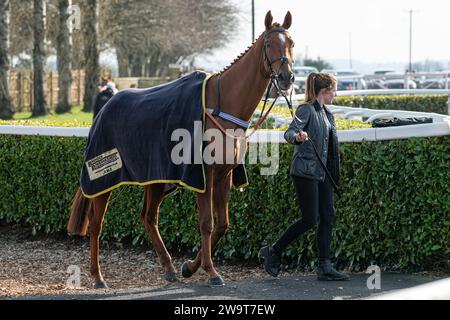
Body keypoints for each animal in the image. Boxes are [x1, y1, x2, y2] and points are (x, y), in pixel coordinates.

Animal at [67, 11, 294, 288]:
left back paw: (169, 267)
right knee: (96, 224)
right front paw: (211, 271)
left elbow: (222, 225)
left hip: (155, 178)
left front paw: (189, 267)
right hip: (104, 177)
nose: (286, 77)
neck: (223, 106)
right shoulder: (204, 175)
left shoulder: (224, 174)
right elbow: (207, 223)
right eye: (269, 44)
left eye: (291, 43)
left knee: (148, 217)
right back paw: (98, 276)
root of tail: (103, 109)